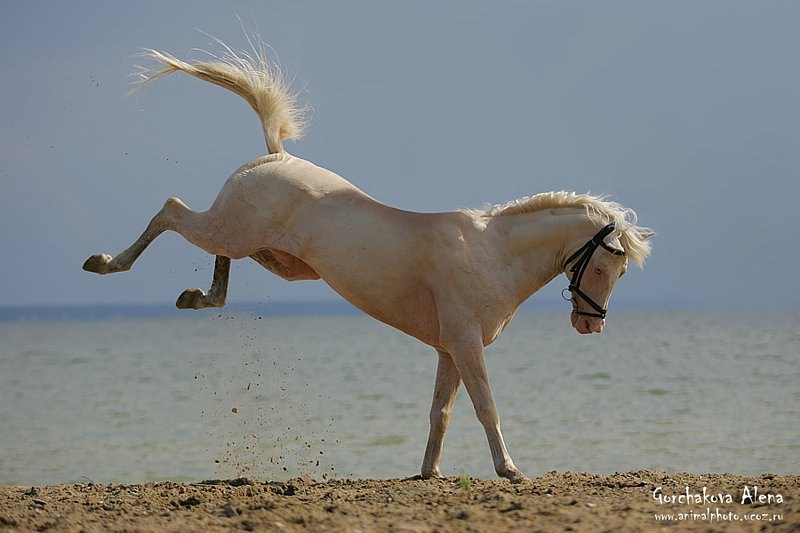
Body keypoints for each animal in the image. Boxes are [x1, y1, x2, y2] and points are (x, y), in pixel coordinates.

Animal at [84, 40, 652, 482]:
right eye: (606, 265)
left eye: (620, 270)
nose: (591, 326)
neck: (493, 254)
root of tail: (275, 155)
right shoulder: (466, 342)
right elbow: (485, 406)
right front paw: (509, 469)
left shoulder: (449, 348)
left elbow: (441, 412)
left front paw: (429, 472)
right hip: (234, 228)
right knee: (171, 211)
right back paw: (106, 263)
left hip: (267, 251)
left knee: (217, 258)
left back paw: (196, 296)